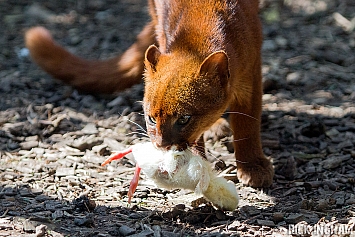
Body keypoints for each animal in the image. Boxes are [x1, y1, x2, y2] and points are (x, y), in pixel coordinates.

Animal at [25, 0, 276, 187]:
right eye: (151, 118)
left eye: (184, 118)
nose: (163, 145)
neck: (196, 36)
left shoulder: (251, 76)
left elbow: (247, 125)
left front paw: (253, 167)